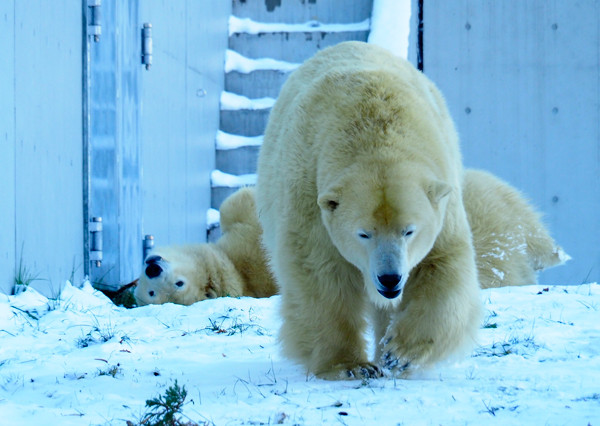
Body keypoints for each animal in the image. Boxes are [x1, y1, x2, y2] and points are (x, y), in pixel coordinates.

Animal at [256, 41, 482, 378]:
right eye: (363, 234)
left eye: (409, 231)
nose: (390, 279)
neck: (374, 131)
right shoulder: (311, 195)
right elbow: (320, 273)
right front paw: (351, 366)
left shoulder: (444, 198)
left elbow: (441, 264)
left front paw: (398, 353)